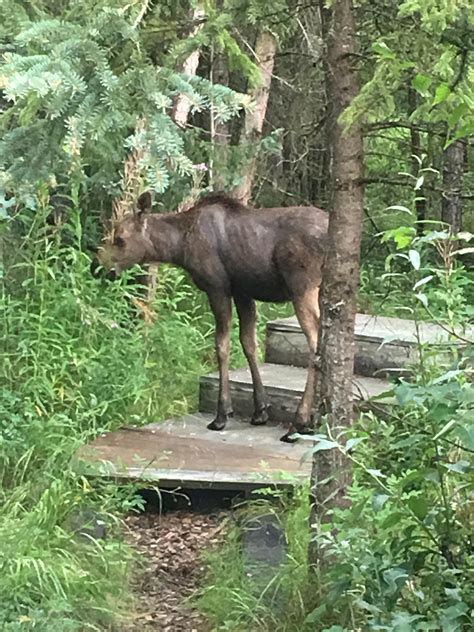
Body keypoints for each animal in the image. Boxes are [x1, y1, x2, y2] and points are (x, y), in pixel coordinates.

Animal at [98, 190, 328, 442]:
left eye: (120, 239)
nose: (97, 268)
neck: (178, 247)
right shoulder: (242, 291)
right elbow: (248, 343)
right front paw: (260, 410)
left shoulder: (217, 287)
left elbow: (221, 345)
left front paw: (222, 414)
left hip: (303, 287)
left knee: (314, 344)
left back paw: (300, 422)